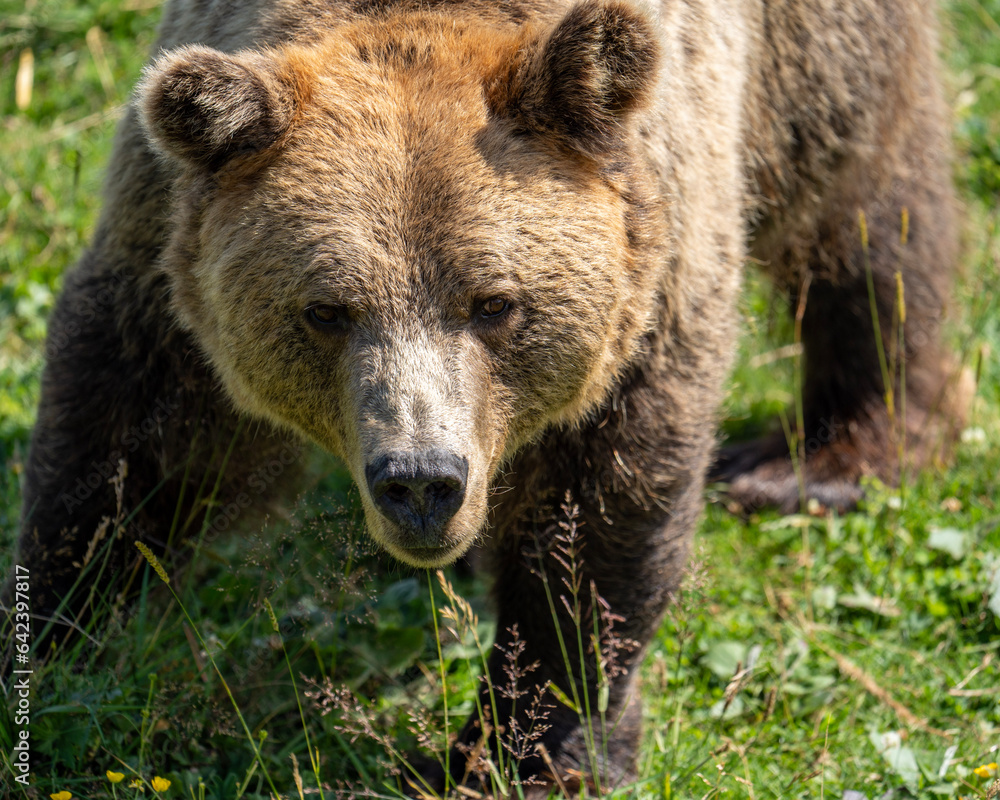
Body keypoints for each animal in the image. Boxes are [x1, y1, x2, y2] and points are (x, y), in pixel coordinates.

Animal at [0, 0, 968, 792]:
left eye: (496, 302)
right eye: (327, 310)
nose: (422, 481)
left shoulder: (653, 259)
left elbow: (599, 515)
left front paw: (529, 749)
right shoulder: (170, 245)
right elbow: (129, 434)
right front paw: (57, 637)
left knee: (865, 192)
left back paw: (827, 455)